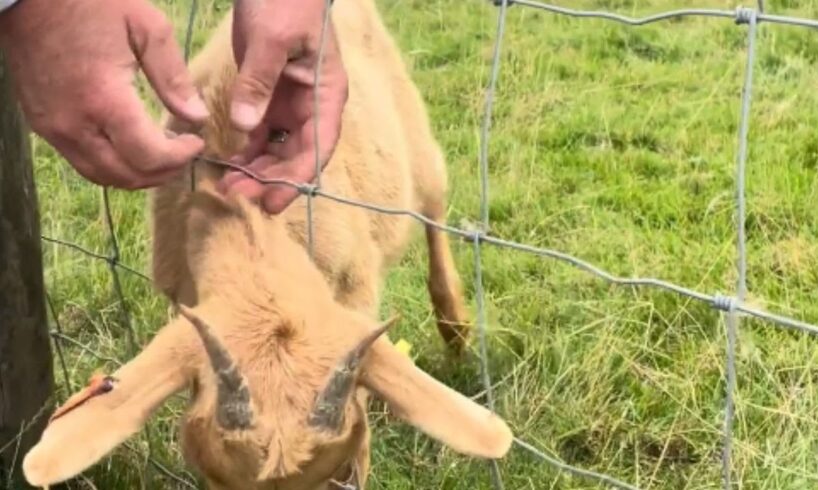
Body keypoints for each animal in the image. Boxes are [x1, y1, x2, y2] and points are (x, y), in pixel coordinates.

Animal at [22, 0, 512, 490]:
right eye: (209, 472)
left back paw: (456, 327)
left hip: (414, 136)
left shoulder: (355, 286)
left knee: (433, 208)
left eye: (337, 471)